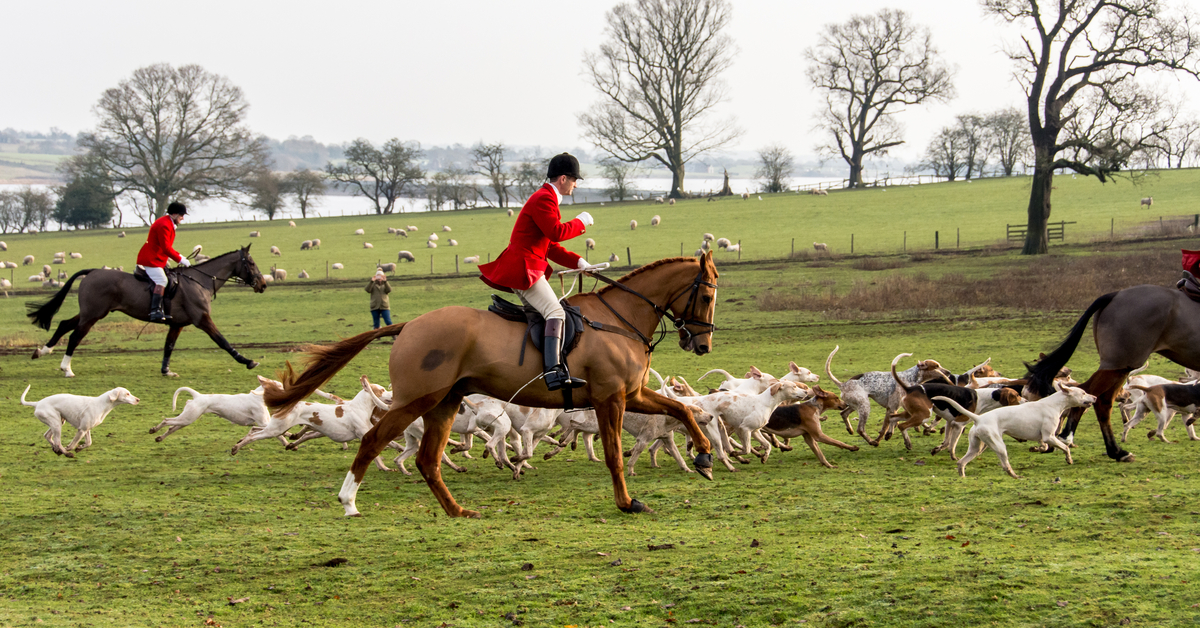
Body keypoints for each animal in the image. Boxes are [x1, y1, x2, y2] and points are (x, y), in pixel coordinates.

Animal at [27, 247, 267, 379]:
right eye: (251, 262)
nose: (263, 284)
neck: (200, 281)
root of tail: (92, 271)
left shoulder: (177, 324)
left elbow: (168, 346)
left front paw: (166, 371)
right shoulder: (202, 319)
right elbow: (222, 341)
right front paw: (247, 361)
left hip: (90, 313)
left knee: (64, 324)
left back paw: (42, 351)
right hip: (93, 315)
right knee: (75, 336)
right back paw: (66, 369)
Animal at [267, 253, 715, 518]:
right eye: (708, 296)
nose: (703, 345)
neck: (619, 318)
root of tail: (409, 325)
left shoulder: (632, 394)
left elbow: (682, 409)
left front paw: (704, 457)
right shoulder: (611, 398)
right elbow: (614, 455)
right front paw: (626, 502)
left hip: (444, 403)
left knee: (427, 459)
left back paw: (457, 511)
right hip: (416, 400)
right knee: (374, 441)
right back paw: (348, 502)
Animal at [1027, 286, 1200, 463]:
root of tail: (1115, 294)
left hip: (1120, 369)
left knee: (1104, 402)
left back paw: (1116, 451)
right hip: (1118, 365)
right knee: (1091, 394)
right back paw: (1068, 437)